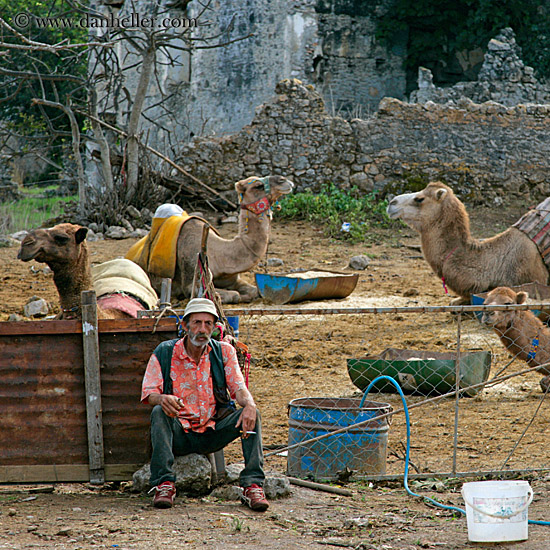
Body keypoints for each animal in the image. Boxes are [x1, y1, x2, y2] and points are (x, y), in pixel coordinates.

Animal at [144, 176, 296, 304]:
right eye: (258, 186)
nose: (285, 180)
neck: (220, 256)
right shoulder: (192, 283)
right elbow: (234, 295)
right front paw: (241, 297)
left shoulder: (232, 279)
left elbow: (255, 291)